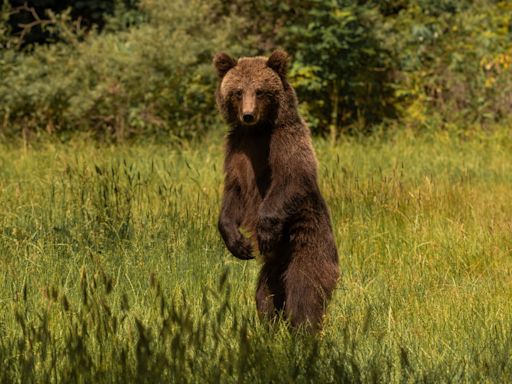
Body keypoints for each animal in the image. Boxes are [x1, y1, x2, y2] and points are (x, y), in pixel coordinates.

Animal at [213, 48, 340, 330]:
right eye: (238, 91)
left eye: (260, 91)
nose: (248, 115)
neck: (258, 132)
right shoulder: (237, 150)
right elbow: (234, 191)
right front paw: (239, 243)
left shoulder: (284, 141)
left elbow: (292, 176)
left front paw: (264, 232)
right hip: (271, 271)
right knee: (265, 296)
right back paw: (268, 327)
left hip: (308, 245)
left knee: (305, 292)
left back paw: (302, 331)